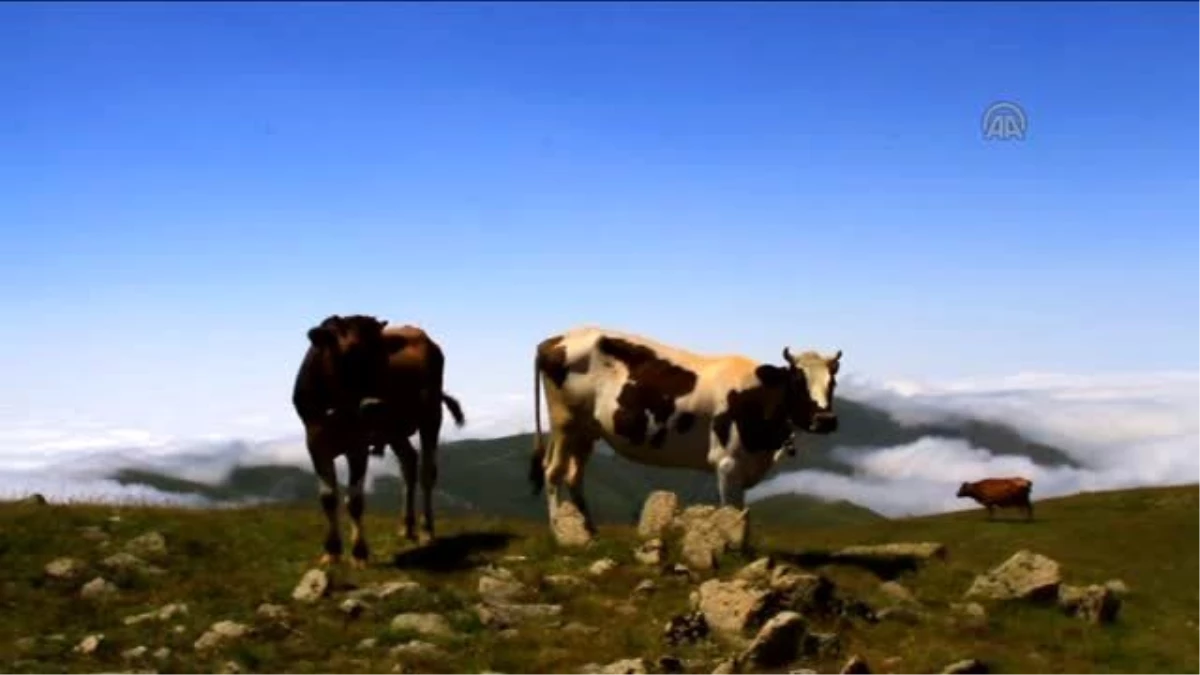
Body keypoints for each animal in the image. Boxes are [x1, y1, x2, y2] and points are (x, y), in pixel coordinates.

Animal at [290, 312, 463, 564]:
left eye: (384, 358)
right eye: (348, 353)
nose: (375, 404)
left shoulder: (358, 442)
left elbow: (355, 500)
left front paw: (359, 553)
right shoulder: (314, 440)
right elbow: (328, 497)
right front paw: (332, 552)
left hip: (431, 415)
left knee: (427, 472)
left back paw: (426, 531)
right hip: (394, 430)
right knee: (408, 462)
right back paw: (406, 527)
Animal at [525, 324, 844, 533]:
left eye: (833, 382)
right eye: (797, 382)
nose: (826, 420)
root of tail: (553, 340)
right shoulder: (728, 464)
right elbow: (733, 513)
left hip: (586, 430)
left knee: (573, 474)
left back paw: (590, 532)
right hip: (565, 420)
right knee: (553, 471)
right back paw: (558, 531)